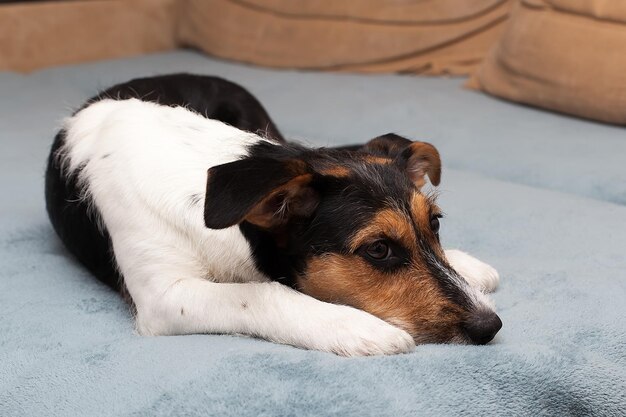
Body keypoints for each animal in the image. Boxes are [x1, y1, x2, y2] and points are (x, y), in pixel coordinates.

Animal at [45, 72, 498, 354]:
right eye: (379, 250)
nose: (491, 326)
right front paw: (352, 325)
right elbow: (262, 293)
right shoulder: (163, 296)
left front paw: (462, 262)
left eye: (434, 223)